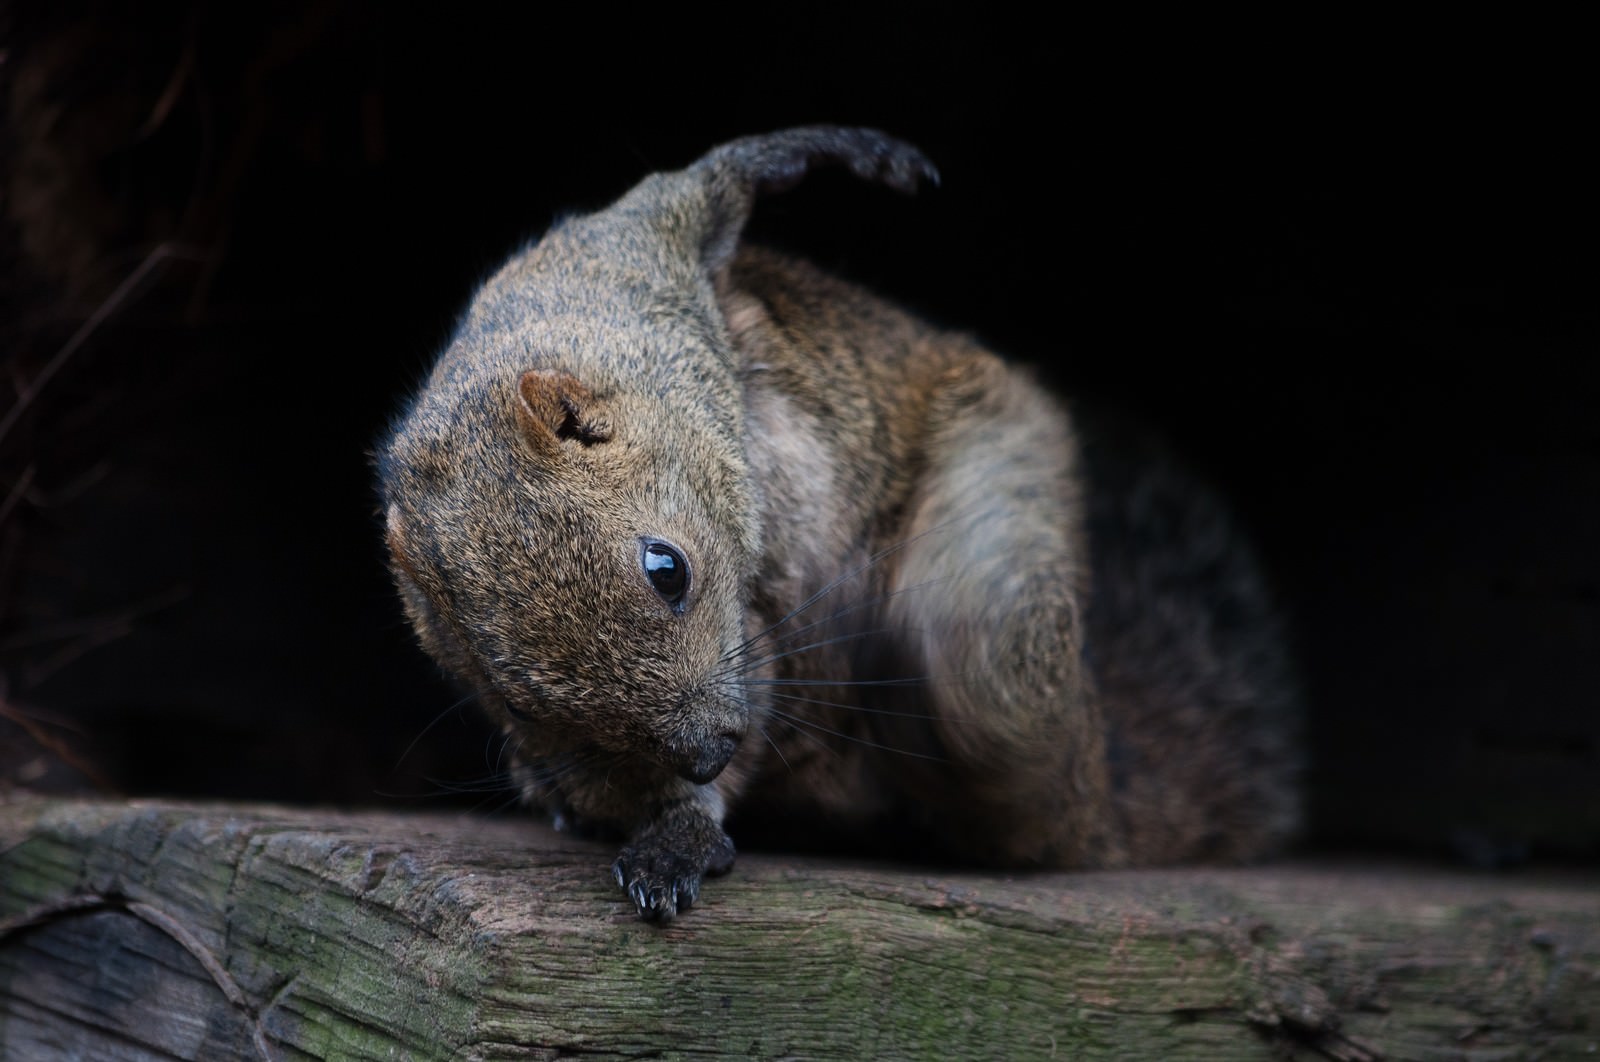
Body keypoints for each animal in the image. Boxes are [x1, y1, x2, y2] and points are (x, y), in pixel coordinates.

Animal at [374, 126, 1299, 921]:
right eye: (514, 699)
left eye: (667, 569)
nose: (705, 753)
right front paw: (680, 829)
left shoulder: (626, 258)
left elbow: (699, 186)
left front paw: (817, 154)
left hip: (1001, 623)